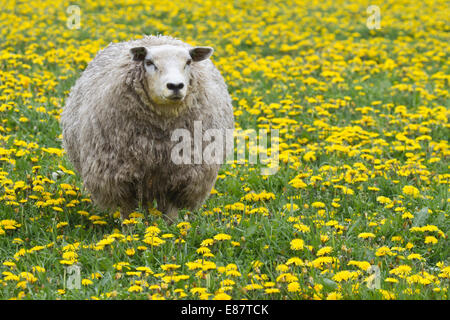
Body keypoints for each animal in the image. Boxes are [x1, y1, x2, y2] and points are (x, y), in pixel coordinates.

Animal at [60, 34, 234, 220]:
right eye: (149, 62)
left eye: (188, 62)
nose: (175, 86)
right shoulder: (119, 177)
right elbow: (128, 212)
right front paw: (131, 228)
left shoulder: (182, 177)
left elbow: (170, 214)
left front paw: (170, 227)